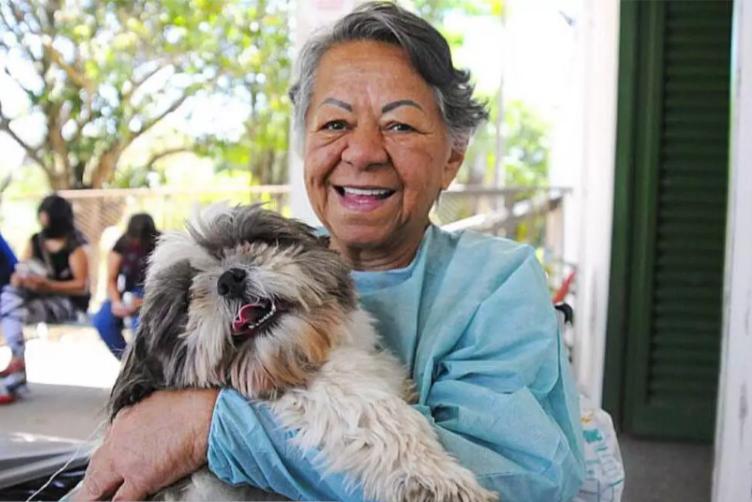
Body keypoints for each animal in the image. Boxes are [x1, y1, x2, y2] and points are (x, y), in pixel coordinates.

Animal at [106, 204, 494, 502]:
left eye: (252, 242)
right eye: (186, 299)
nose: (229, 279)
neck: (299, 358)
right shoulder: (318, 392)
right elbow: (380, 417)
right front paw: (441, 482)